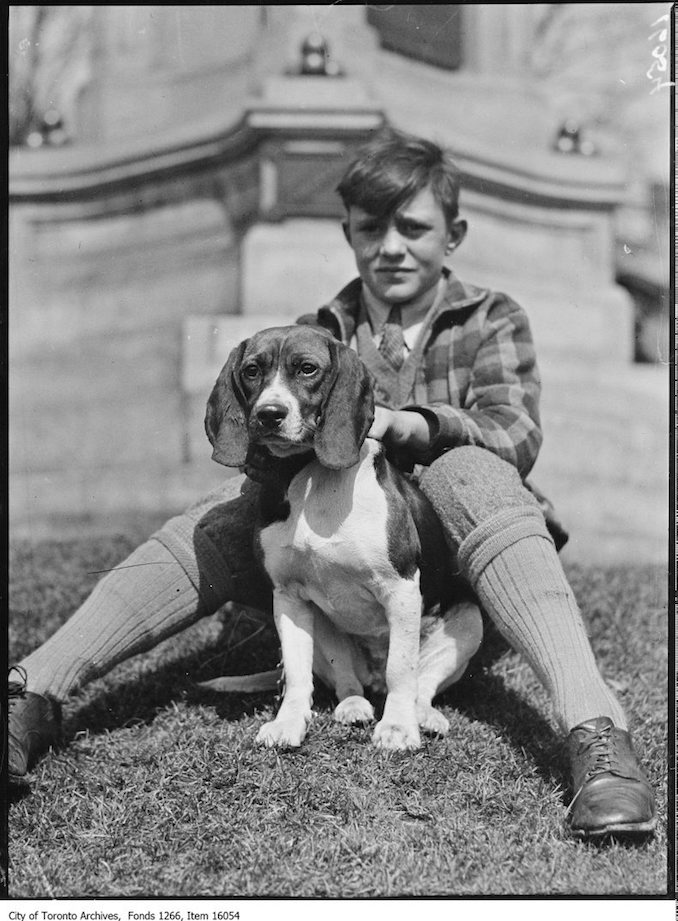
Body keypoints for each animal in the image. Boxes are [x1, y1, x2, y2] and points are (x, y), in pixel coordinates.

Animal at [206, 328, 484, 752]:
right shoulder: (287, 596)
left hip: (469, 620)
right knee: (345, 680)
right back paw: (354, 705)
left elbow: (402, 670)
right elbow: (297, 675)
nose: (269, 414)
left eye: (307, 368)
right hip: (324, 629)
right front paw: (288, 723)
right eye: (252, 370)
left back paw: (422, 715)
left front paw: (398, 727)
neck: (309, 475)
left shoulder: (402, 588)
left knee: (419, 683)